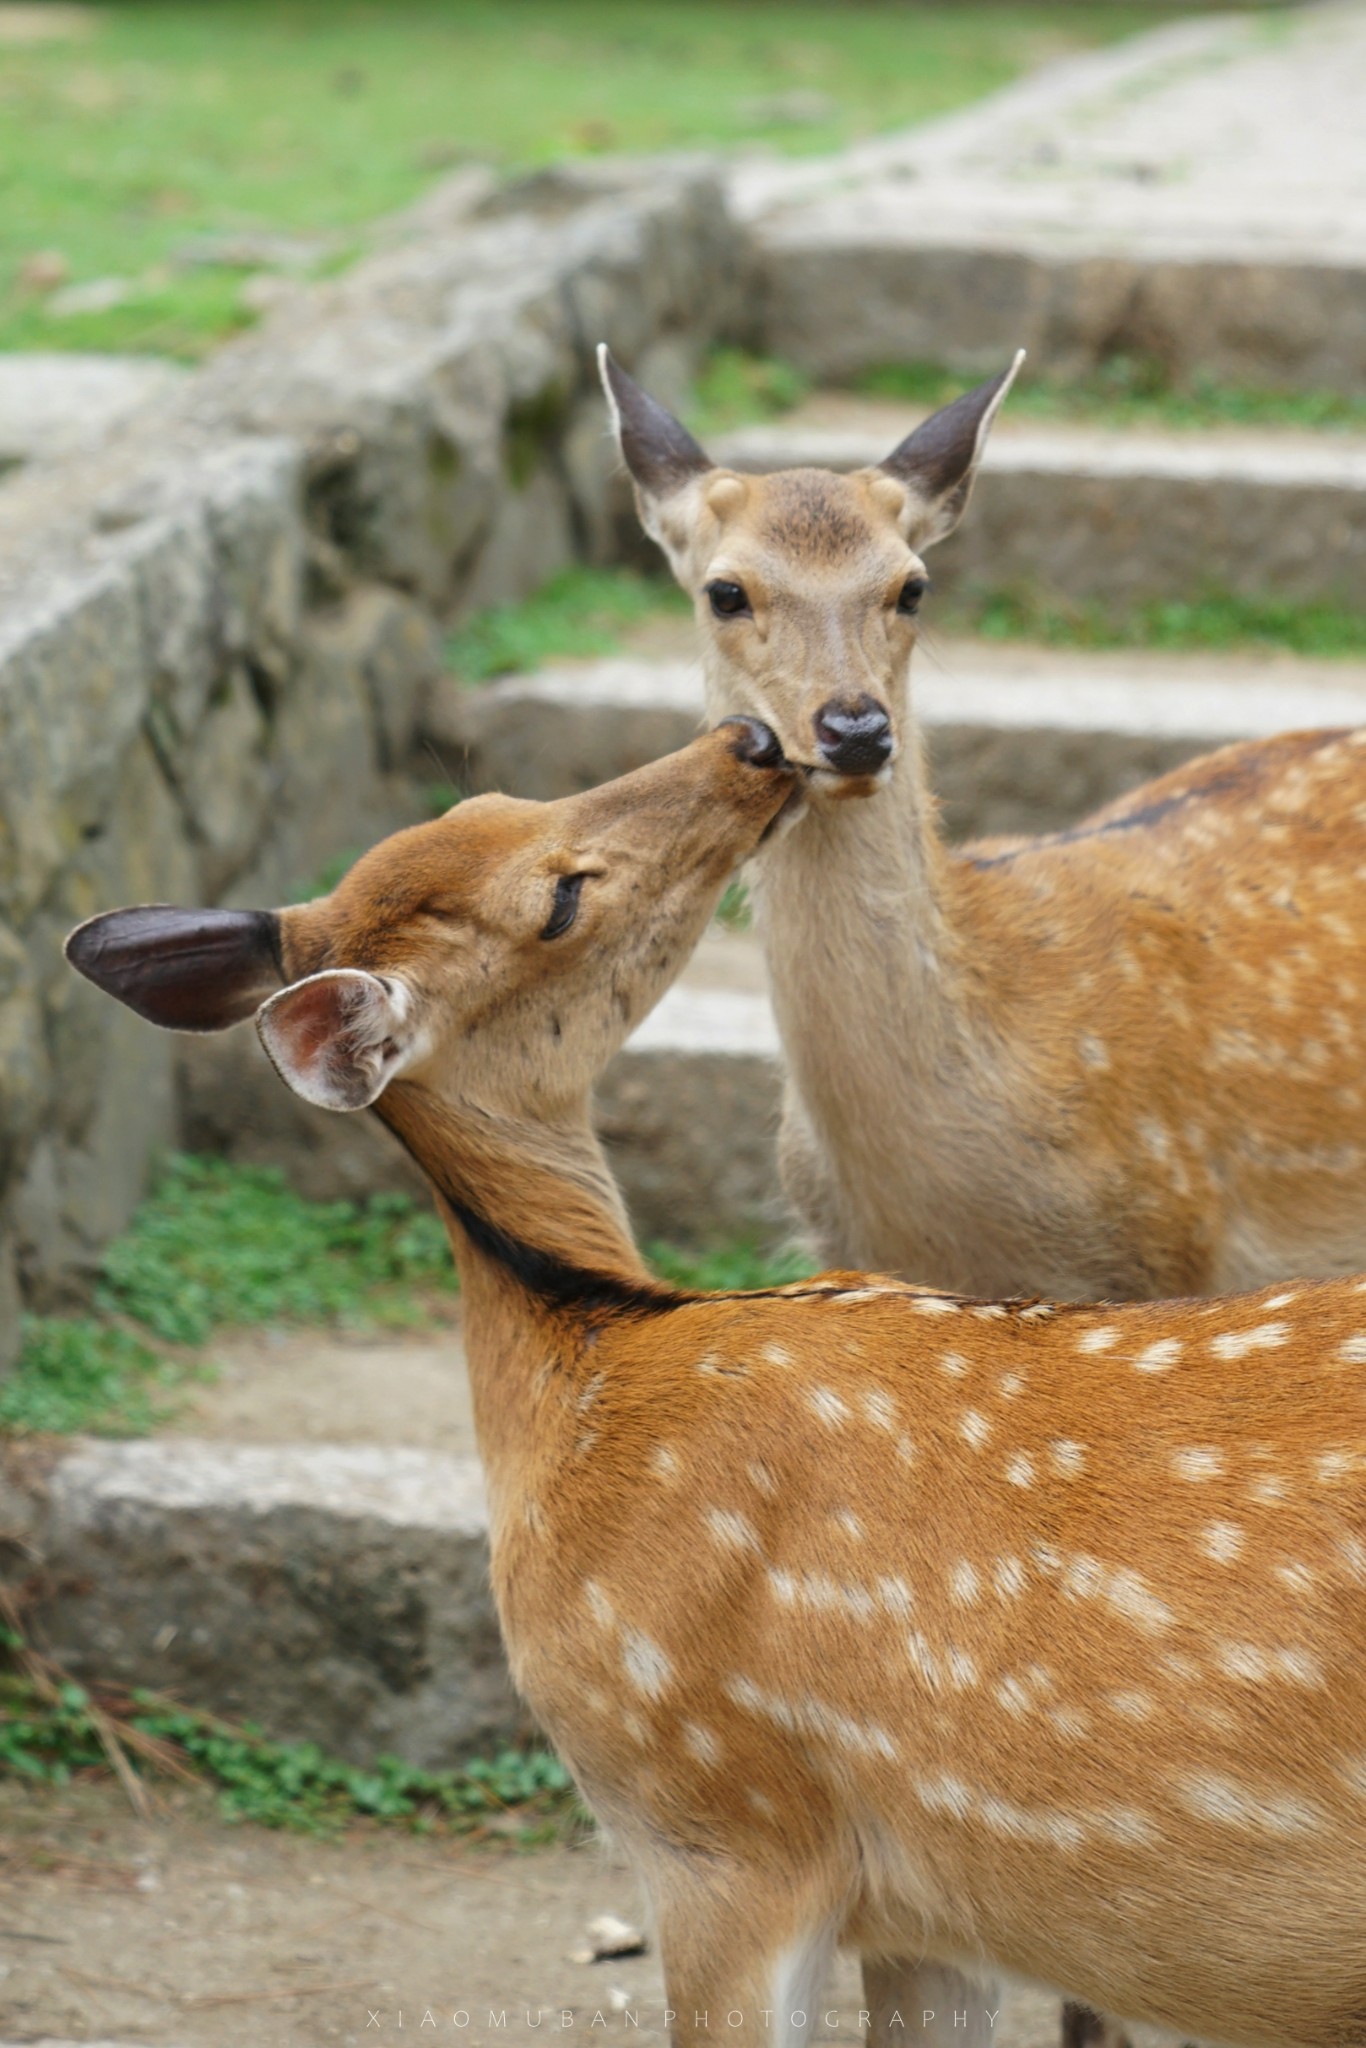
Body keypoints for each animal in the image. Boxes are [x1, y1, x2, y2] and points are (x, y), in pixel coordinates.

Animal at [69, 724, 1366, 2048]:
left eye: (494, 797)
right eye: (557, 895)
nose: (749, 742)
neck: (586, 1355)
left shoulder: (714, 1810)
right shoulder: (809, 1867)